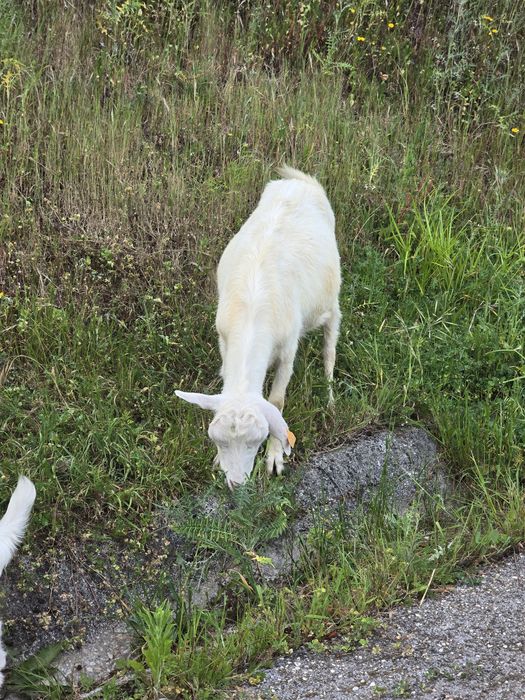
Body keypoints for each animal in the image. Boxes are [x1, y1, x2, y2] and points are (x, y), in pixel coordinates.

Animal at [176, 166, 341, 487]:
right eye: (218, 441)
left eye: (256, 441)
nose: (236, 483)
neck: (252, 314)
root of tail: (298, 181)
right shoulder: (224, 339)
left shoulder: (288, 349)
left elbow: (277, 400)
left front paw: (275, 458)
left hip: (330, 299)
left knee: (330, 345)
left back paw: (329, 399)